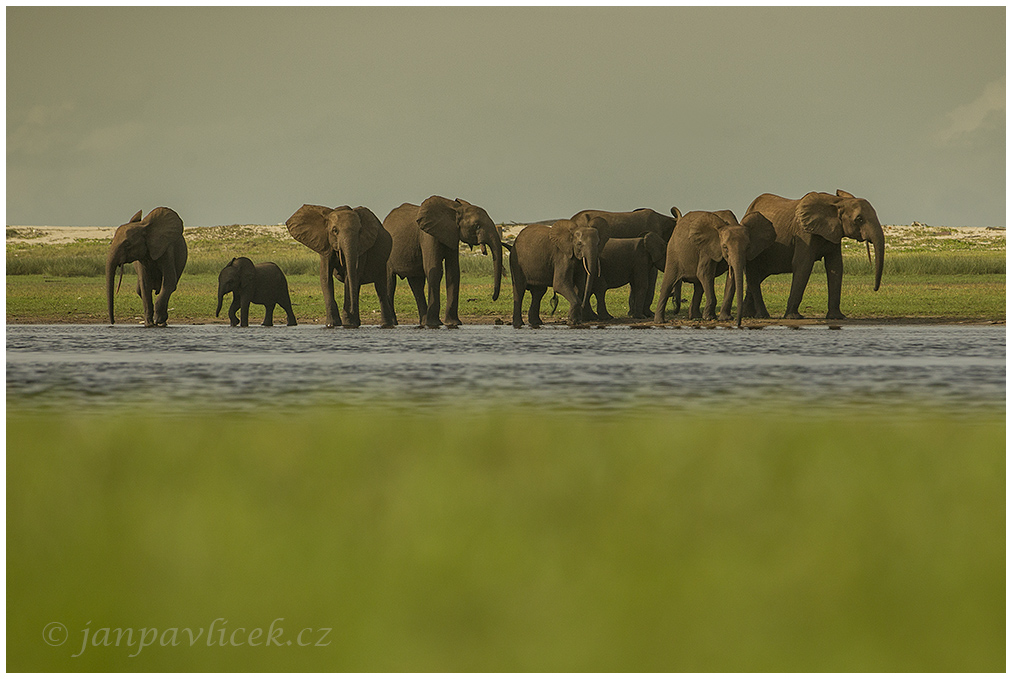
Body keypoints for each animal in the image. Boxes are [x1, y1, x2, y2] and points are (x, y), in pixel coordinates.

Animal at [382, 196, 501, 329]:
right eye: (477, 226)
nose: (493, 297)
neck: (456, 208)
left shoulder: (452, 234)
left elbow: (453, 272)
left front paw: (453, 323)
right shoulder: (428, 235)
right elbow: (434, 270)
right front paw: (434, 324)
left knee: (417, 284)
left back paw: (422, 323)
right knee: (390, 283)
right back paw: (393, 323)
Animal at [744, 190, 886, 319]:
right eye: (859, 219)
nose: (874, 289)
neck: (838, 202)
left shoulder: (834, 233)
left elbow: (835, 267)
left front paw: (837, 317)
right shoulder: (804, 233)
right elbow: (803, 264)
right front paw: (793, 317)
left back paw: (749, 315)